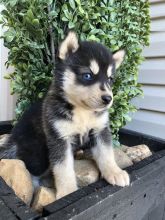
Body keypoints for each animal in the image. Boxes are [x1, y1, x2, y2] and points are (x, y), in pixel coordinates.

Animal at [0, 31, 130, 199]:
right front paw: (67, 192)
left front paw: (115, 172)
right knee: (29, 169)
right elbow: (63, 168)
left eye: (110, 79)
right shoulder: (59, 138)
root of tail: (13, 139)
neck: (82, 112)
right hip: (39, 153)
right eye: (87, 75)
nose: (108, 99)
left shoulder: (100, 130)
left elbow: (106, 154)